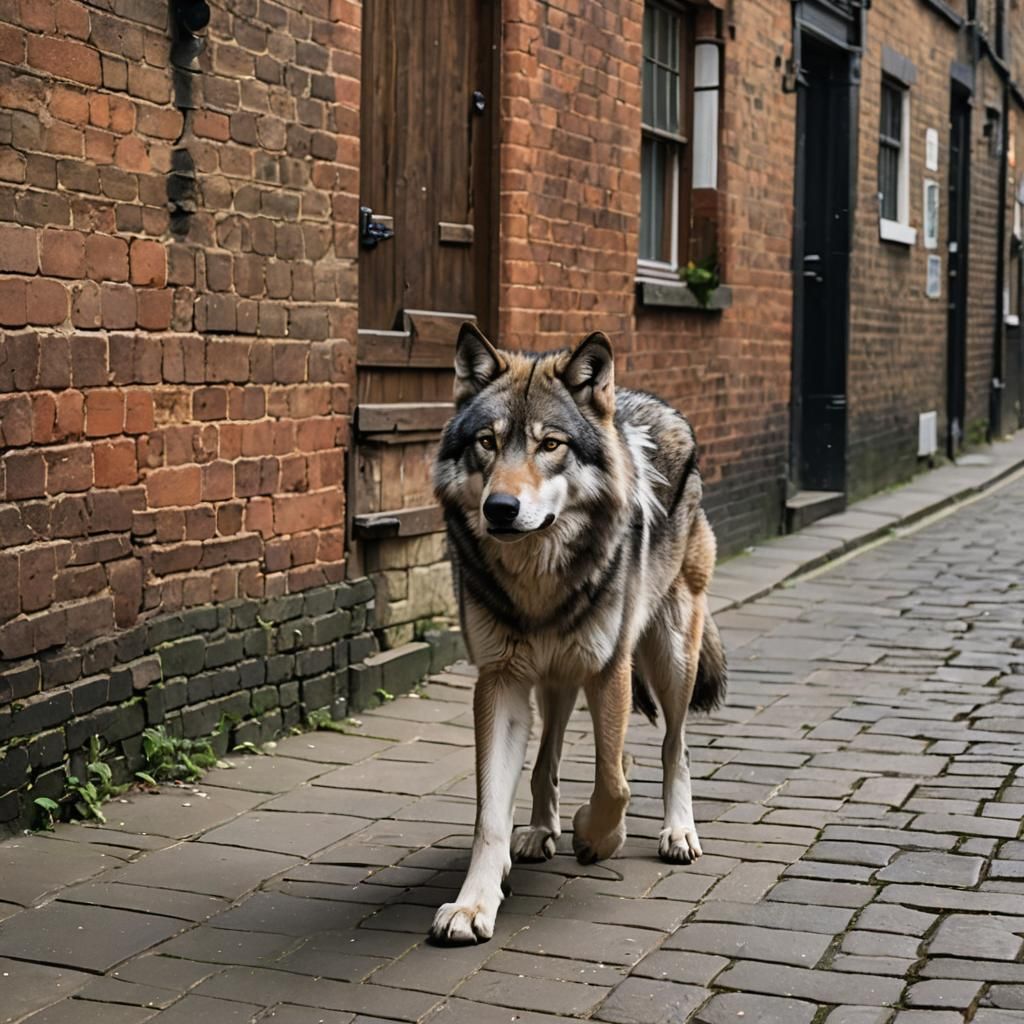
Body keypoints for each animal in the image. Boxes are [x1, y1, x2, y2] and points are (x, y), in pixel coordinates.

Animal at [430, 323, 727, 945]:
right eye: (487, 442)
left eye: (551, 445)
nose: (500, 508)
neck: (538, 581)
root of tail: (653, 403)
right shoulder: (500, 682)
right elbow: (490, 815)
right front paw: (474, 904)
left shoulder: (609, 670)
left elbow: (614, 782)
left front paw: (595, 835)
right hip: (555, 681)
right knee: (548, 757)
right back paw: (541, 832)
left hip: (669, 656)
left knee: (675, 746)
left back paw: (678, 833)